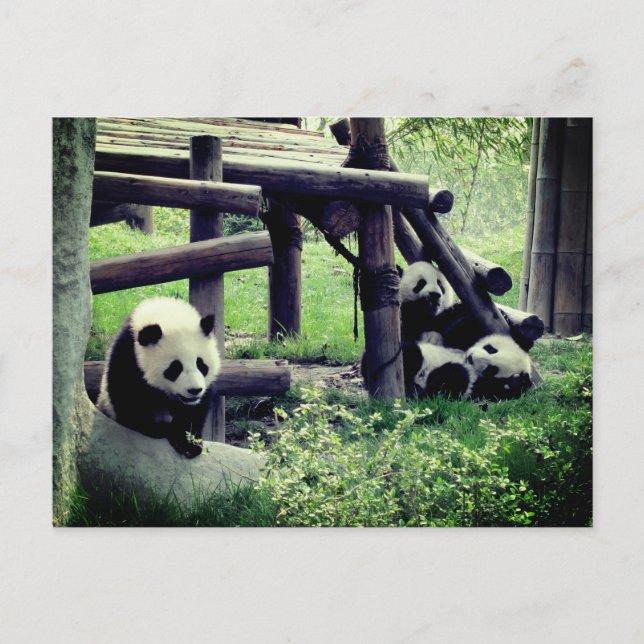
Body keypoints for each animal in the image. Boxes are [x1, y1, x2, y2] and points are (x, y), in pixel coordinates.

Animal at [97, 297, 221, 458]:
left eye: (201, 364)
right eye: (175, 368)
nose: (194, 390)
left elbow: (193, 410)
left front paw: (188, 444)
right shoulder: (128, 357)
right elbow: (129, 398)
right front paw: (155, 430)